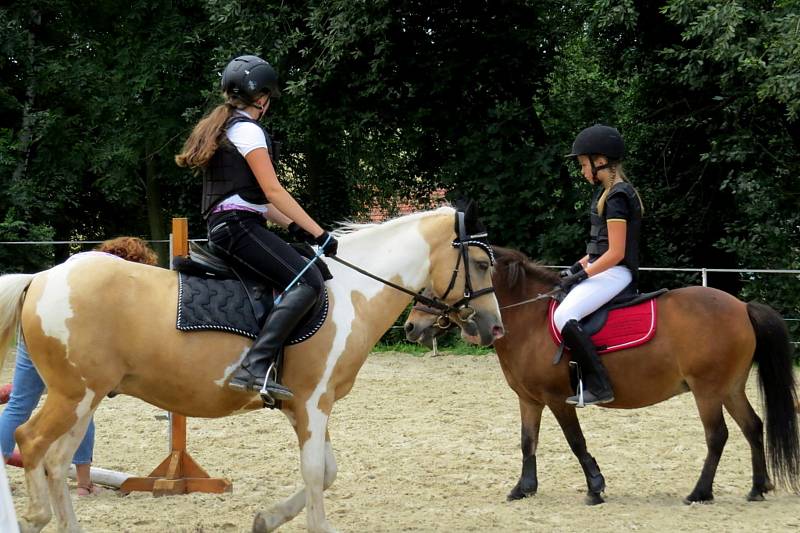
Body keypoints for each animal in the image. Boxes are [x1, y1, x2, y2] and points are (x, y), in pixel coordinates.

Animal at [0, 207, 504, 532]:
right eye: (480, 264)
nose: (494, 326)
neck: (351, 294)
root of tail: (43, 277)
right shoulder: (313, 403)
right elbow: (316, 472)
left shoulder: (306, 406)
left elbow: (328, 470)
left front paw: (266, 518)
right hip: (74, 394)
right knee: (30, 442)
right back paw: (37, 516)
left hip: (86, 398)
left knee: (57, 460)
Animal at [406, 245, 800, 502]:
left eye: (437, 281)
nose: (411, 326)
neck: (528, 318)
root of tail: (742, 306)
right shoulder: (529, 399)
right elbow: (527, 442)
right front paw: (524, 488)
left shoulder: (557, 398)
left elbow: (575, 441)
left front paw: (595, 487)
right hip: (729, 388)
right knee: (753, 426)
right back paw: (758, 487)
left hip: (707, 391)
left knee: (718, 435)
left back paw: (700, 493)